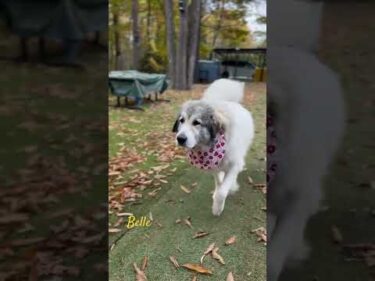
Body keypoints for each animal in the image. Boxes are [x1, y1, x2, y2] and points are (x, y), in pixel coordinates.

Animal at [173, 78, 256, 214]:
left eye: (197, 123)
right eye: (182, 120)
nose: (180, 139)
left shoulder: (234, 164)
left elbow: (223, 191)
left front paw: (217, 207)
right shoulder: (214, 167)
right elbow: (219, 183)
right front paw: (217, 193)